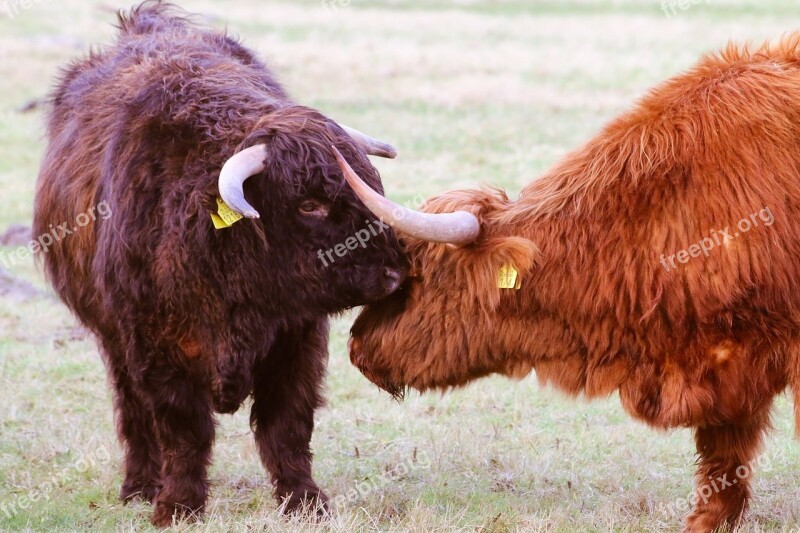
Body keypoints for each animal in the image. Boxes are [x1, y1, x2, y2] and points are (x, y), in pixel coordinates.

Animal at [31, 1, 406, 528]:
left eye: (369, 184)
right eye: (310, 204)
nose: (394, 273)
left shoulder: (298, 340)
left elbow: (287, 426)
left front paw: (306, 502)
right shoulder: (153, 346)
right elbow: (183, 430)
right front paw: (177, 506)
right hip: (112, 339)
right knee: (132, 411)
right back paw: (138, 486)